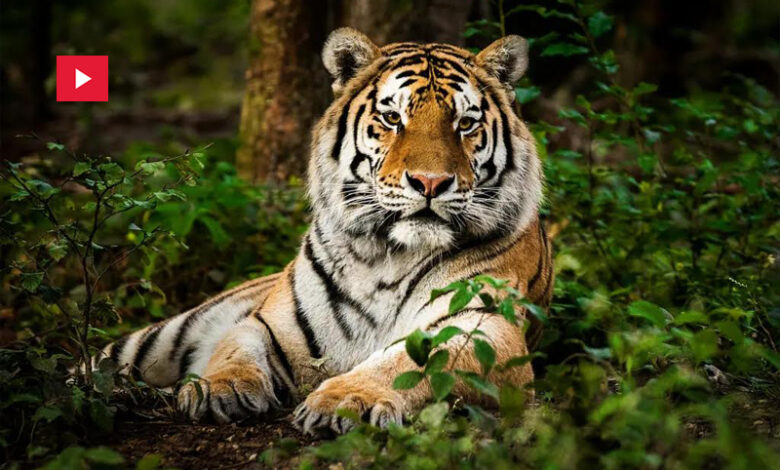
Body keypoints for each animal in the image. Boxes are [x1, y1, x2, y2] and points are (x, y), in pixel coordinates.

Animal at [91, 27, 553, 435]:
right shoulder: (271, 324)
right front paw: (216, 388)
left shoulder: (484, 327)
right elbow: (234, 347)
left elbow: (408, 363)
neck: (387, 255)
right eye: (392, 118)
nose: (430, 182)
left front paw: (348, 400)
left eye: (465, 124)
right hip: (161, 337)